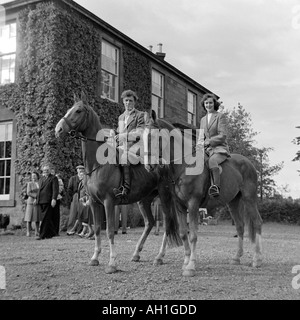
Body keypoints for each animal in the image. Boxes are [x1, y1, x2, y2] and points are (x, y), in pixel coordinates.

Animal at [54, 92, 180, 272]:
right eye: (68, 110)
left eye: (78, 111)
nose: (58, 129)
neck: (97, 164)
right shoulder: (94, 202)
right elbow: (97, 229)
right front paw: (95, 258)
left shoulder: (108, 202)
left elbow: (109, 231)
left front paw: (112, 263)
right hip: (144, 200)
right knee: (149, 223)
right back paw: (136, 253)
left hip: (164, 196)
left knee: (168, 223)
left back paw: (159, 257)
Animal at [143, 111, 262, 276]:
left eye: (154, 136)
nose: (148, 166)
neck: (185, 165)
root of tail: (248, 163)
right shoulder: (179, 206)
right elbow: (183, 233)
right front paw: (185, 262)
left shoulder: (193, 204)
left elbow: (193, 235)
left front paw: (191, 266)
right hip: (233, 202)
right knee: (240, 226)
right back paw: (237, 258)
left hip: (249, 199)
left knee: (256, 223)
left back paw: (257, 259)